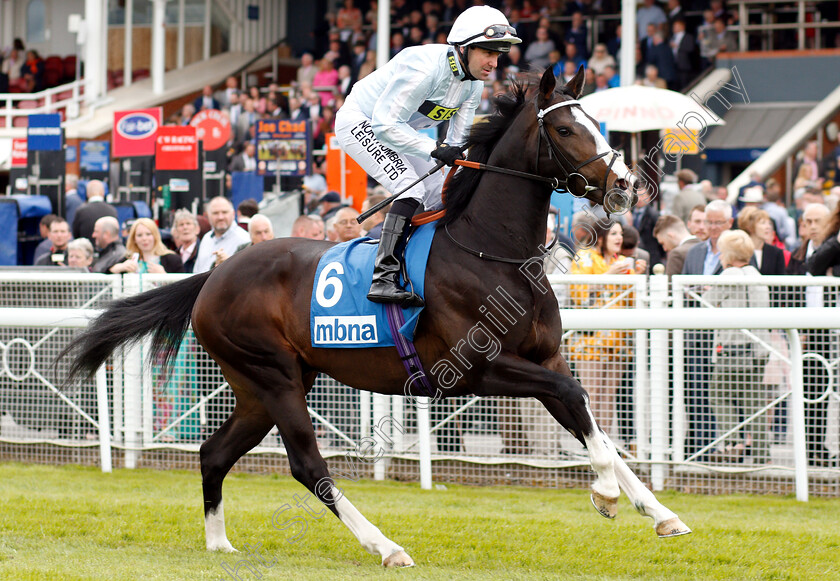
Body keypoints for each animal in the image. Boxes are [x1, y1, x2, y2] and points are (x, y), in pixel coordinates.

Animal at [64, 68, 688, 568]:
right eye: (564, 130)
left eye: (597, 124)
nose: (627, 185)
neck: (490, 249)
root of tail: (214, 274)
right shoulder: (477, 370)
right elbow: (580, 406)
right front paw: (606, 495)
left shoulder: (546, 359)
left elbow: (588, 418)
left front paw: (657, 512)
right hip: (273, 376)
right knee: (307, 465)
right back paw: (385, 546)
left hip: (261, 385)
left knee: (214, 452)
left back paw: (220, 543)